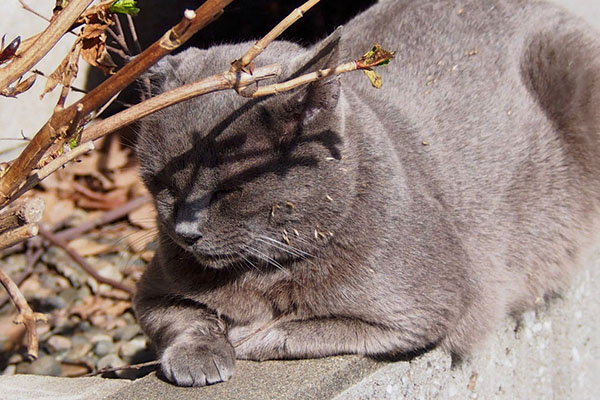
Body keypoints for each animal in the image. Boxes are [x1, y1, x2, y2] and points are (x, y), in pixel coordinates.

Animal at [134, 0, 600, 388]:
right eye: (160, 184)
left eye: (229, 188)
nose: (185, 231)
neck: (265, 272)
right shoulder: (150, 290)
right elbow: (180, 317)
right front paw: (199, 356)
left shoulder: (424, 310)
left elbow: (307, 327)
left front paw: (247, 336)